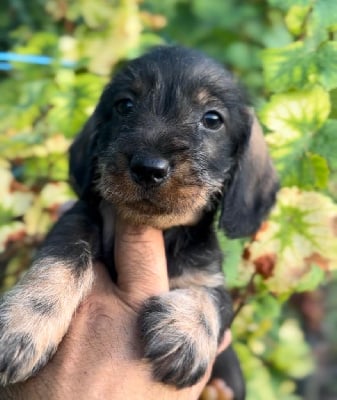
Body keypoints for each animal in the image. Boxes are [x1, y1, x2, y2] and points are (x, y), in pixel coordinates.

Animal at [0, 46, 276, 396]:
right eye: (125, 106)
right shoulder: (77, 222)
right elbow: (62, 258)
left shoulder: (209, 275)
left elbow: (212, 298)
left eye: (213, 119)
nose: (148, 168)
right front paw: (27, 320)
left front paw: (187, 331)